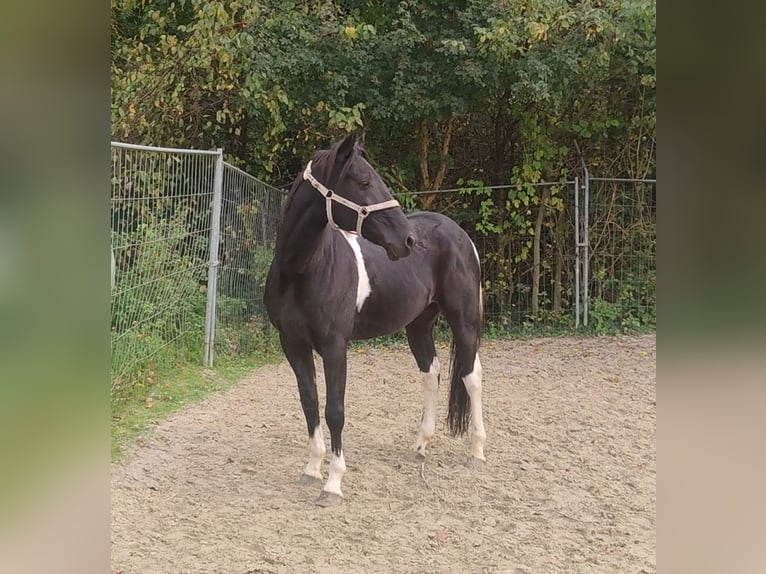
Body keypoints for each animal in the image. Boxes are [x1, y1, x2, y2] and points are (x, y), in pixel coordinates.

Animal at [264, 132, 486, 508]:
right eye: (365, 182)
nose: (408, 240)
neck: (301, 271)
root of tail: (460, 235)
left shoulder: (335, 346)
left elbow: (335, 409)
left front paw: (333, 484)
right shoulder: (293, 344)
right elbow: (310, 402)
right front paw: (311, 469)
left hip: (465, 321)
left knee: (471, 377)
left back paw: (477, 451)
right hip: (419, 325)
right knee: (431, 374)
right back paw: (421, 445)